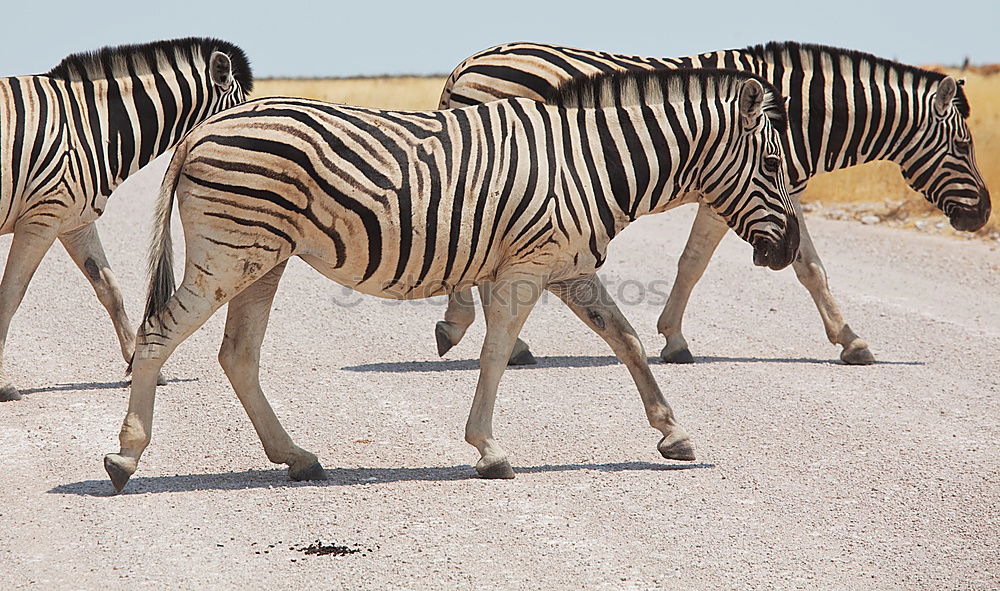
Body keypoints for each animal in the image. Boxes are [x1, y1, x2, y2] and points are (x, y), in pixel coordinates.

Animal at [0, 38, 254, 402]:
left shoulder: (73, 220)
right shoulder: (41, 217)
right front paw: (3, 383)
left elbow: (110, 289)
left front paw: (143, 366)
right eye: (238, 114)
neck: (94, 126)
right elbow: (10, 295)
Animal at [101, 67, 800, 492]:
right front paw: (488, 450)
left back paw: (298, 458)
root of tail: (201, 131)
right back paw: (125, 456)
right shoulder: (526, 267)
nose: (790, 249)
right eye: (772, 165)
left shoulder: (569, 266)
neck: (588, 163)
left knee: (238, 355)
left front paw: (673, 433)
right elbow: (496, 353)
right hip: (231, 254)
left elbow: (625, 341)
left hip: (262, 259)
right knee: (158, 335)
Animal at [436, 40, 992, 366]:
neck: (800, 110)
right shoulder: (754, 185)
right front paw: (852, 341)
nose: (984, 215)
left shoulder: (752, 191)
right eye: (963, 146)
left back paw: (470, 331)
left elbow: (727, 262)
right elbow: (780, 266)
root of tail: (467, 62)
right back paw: (507, 345)